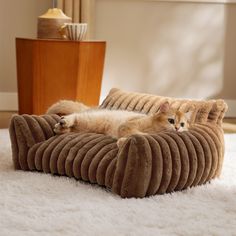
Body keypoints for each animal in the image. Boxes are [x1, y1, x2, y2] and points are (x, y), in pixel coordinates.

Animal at [54, 101, 192, 146]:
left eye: (182, 124)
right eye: (171, 120)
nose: (177, 128)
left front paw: (122, 142)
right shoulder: (128, 126)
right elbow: (137, 133)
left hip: (86, 127)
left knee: (73, 128)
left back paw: (61, 128)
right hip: (90, 120)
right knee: (75, 116)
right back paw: (64, 121)